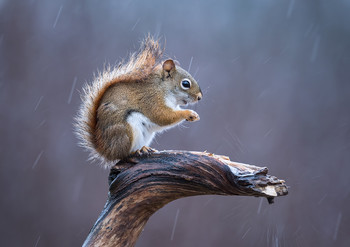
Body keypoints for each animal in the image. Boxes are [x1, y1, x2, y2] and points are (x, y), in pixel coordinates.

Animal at [76, 36, 202, 168]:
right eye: (185, 83)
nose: (200, 97)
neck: (162, 87)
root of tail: (106, 151)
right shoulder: (152, 99)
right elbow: (162, 116)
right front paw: (188, 113)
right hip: (126, 130)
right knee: (123, 154)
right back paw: (137, 151)